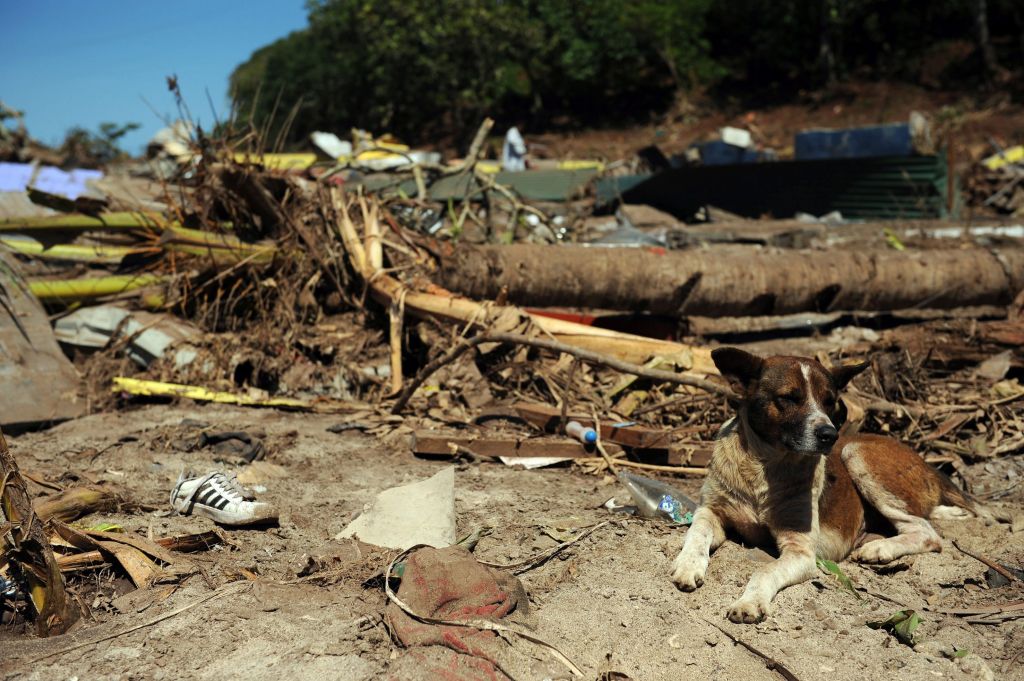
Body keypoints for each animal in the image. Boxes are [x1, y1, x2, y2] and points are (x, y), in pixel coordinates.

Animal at [667, 350, 987, 622]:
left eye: (829, 401)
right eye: (789, 398)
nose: (829, 434)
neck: (762, 467)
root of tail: (927, 463)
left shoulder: (800, 551)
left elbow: (765, 570)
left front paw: (749, 602)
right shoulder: (712, 510)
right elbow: (698, 531)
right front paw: (688, 564)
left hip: (855, 453)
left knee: (926, 532)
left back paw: (880, 548)